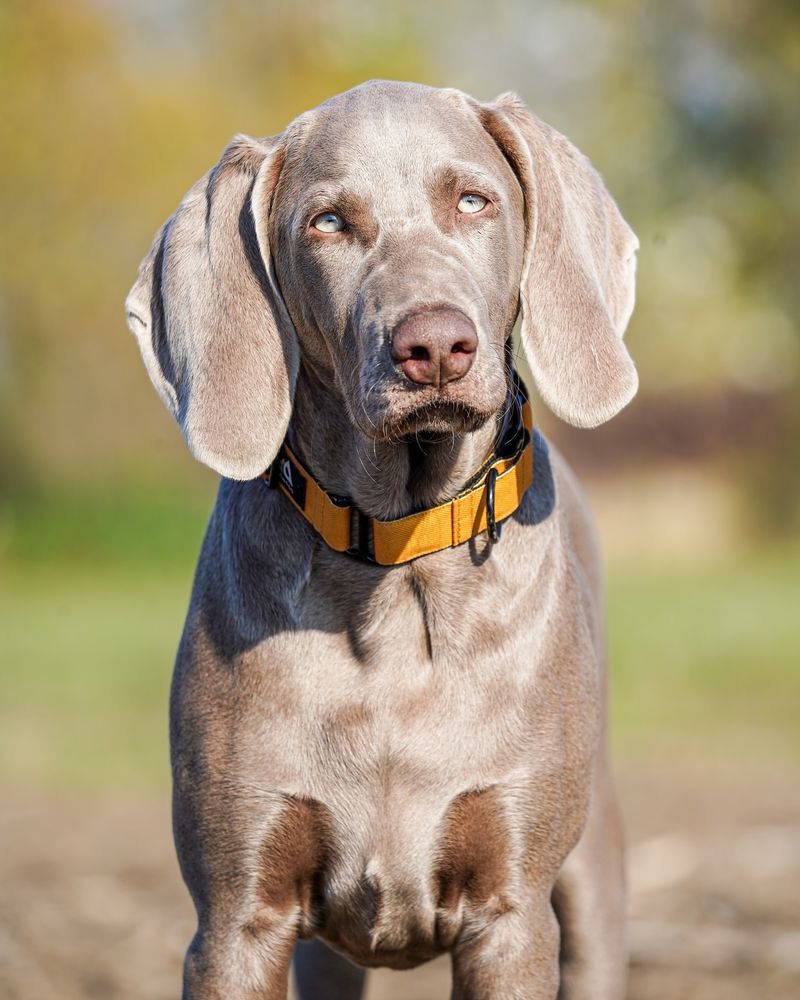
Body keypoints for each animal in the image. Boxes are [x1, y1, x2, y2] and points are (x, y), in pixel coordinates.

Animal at [125, 80, 636, 1000]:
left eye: (473, 201)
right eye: (328, 222)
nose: (434, 346)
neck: (397, 557)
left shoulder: (511, 914)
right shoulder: (235, 916)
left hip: (592, 876)